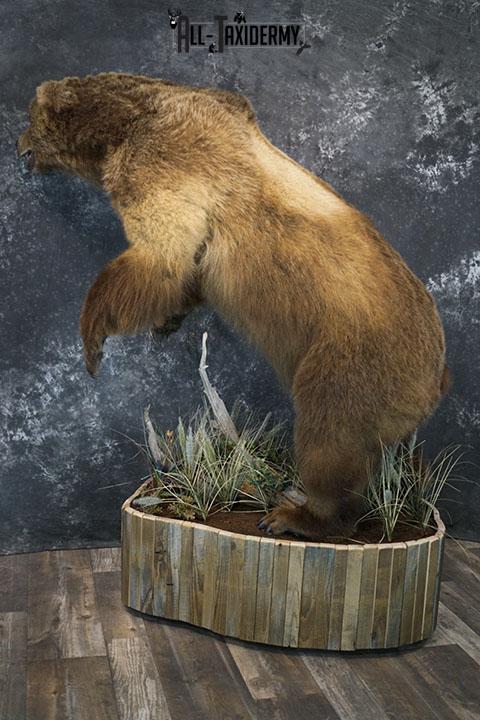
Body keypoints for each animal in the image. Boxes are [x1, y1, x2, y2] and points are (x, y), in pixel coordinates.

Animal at [17, 72, 449, 540]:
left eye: (29, 117)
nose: (18, 147)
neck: (121, 124)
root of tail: (436, 381)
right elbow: (188, 270)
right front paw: (166, 320)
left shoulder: (163, 163)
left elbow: (162, 255)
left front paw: (93, 341)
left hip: (351, 363)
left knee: (331, 439)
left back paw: (294, 514)